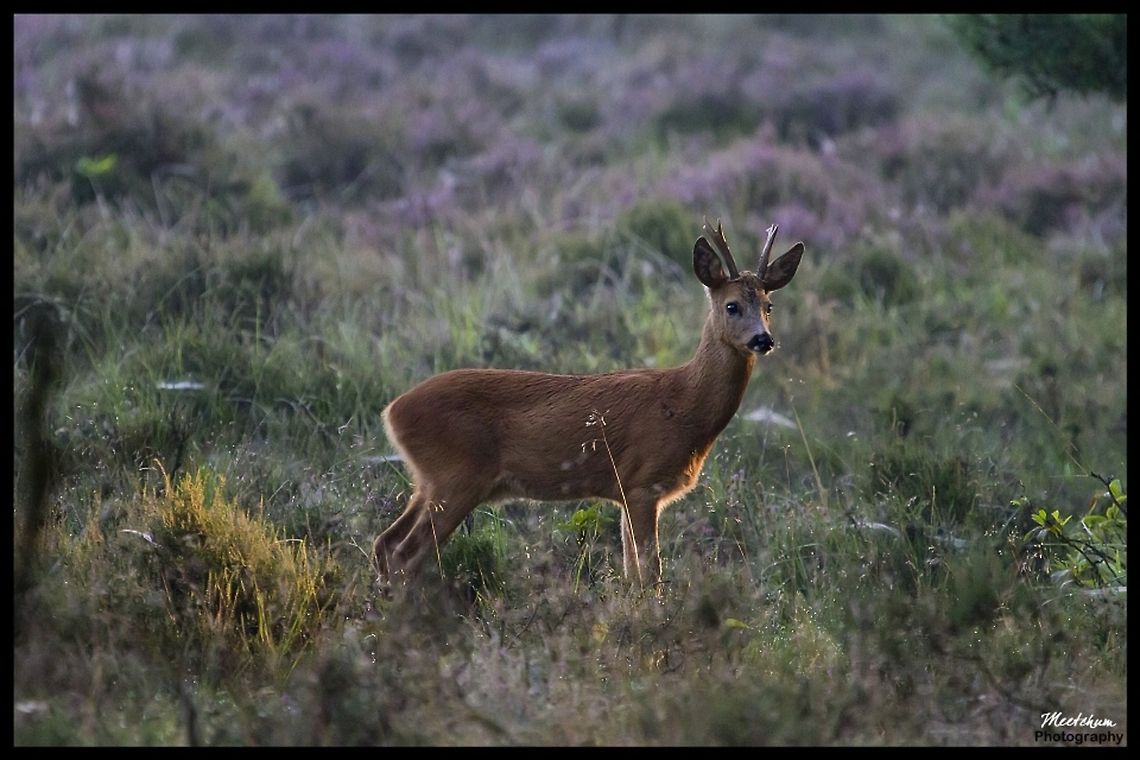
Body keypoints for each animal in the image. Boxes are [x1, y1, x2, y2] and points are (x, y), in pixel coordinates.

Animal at [374, 217, 804, 593]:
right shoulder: (642, 483)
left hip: (428, 481)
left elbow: (633, 573)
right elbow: (649, 575)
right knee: (406, 553)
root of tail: (392, 411)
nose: (763, 340)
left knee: (385, 543)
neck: (684, 404)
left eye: (768, 306)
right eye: (732, 305)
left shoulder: (624, 492)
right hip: (457, 477)